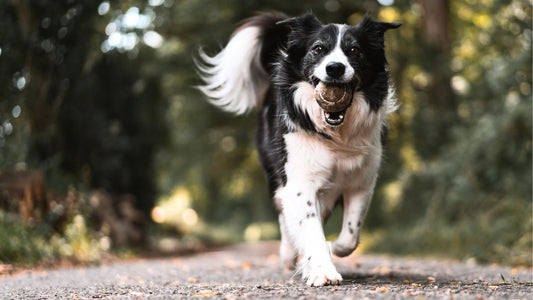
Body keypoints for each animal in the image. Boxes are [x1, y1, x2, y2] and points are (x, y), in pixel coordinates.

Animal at [195, 11, 400, 288]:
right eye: (318, 49)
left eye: (355, 50)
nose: (335, 68)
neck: (336, 134)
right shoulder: (299, 180)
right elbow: (309, 229)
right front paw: (322, 270)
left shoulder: (361, 180)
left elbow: (349, 236)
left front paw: (331, 249)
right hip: (276, 175)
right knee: (284, 214)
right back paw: (288, 254)